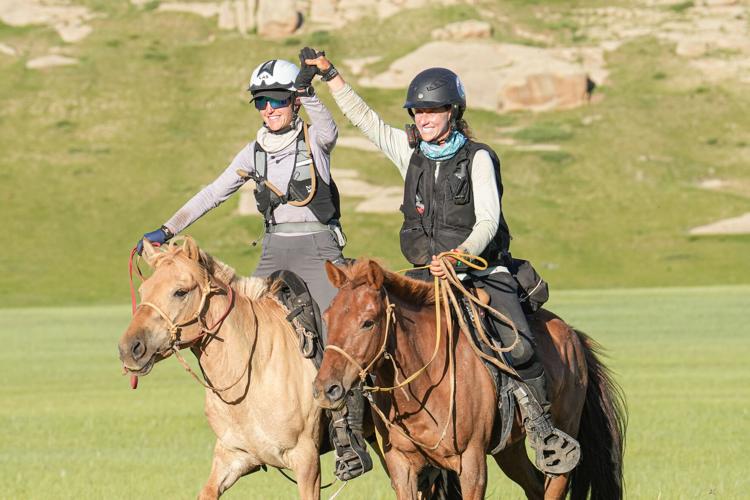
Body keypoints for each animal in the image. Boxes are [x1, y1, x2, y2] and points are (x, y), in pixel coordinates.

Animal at [312, 260, 628, 500]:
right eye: (327, 317)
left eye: (368, 322)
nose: (326, 389)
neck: (426, 384)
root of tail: (572, 335)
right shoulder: (402, 465)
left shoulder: (471, 464)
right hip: (510, 450)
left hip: (561, 444)